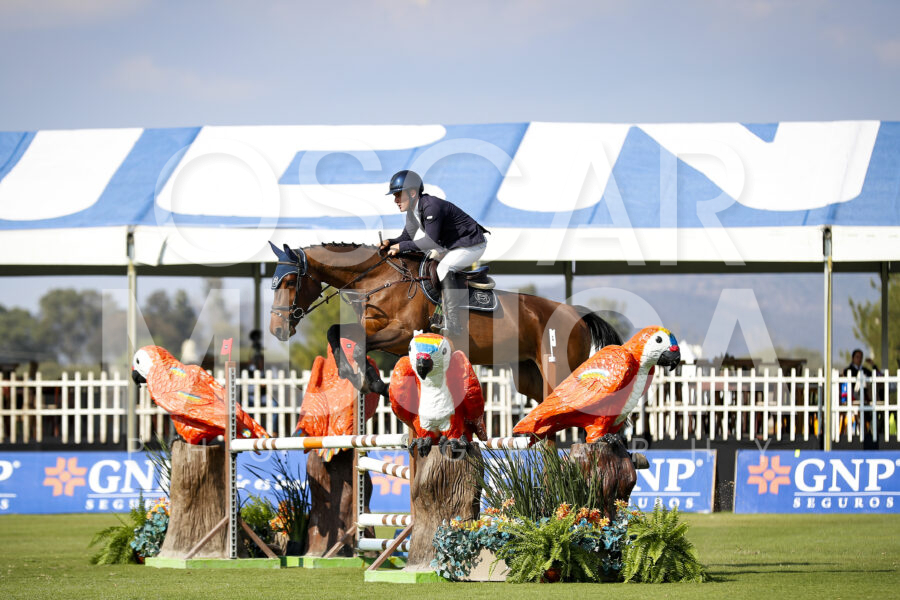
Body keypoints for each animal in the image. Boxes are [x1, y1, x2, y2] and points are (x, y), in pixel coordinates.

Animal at [268, 242, 622, 401]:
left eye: (290, 282)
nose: (277, 330)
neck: (377, 279)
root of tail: (576, 313)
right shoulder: (374, 327)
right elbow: (336, 332)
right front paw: (358, 377)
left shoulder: (400, 334)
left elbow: (358, 347)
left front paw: (371, 382)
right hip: (529, 376)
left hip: (558, 370)